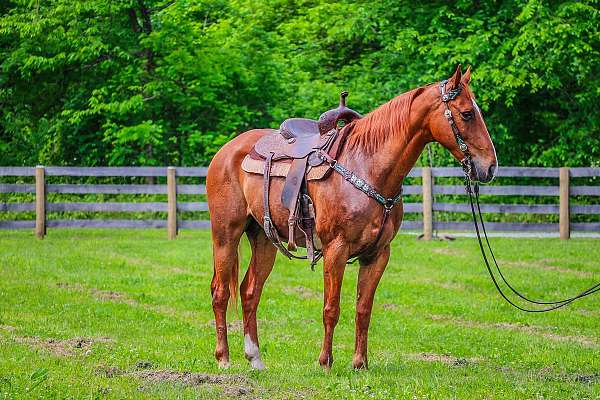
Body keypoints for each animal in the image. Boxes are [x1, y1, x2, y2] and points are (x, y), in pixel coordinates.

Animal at [206, 65, 496, 368]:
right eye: (467, 113)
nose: (490, 167)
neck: (367, 166)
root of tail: (227, 151)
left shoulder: (377, 254)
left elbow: (363, 309)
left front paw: (360, 363)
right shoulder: (336, 249)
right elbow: (331, 308)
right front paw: (325, 361)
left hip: (264, 239)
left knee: (250, 291)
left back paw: (256, 359)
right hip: (226, 234)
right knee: (220, 292)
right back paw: (223, 358)